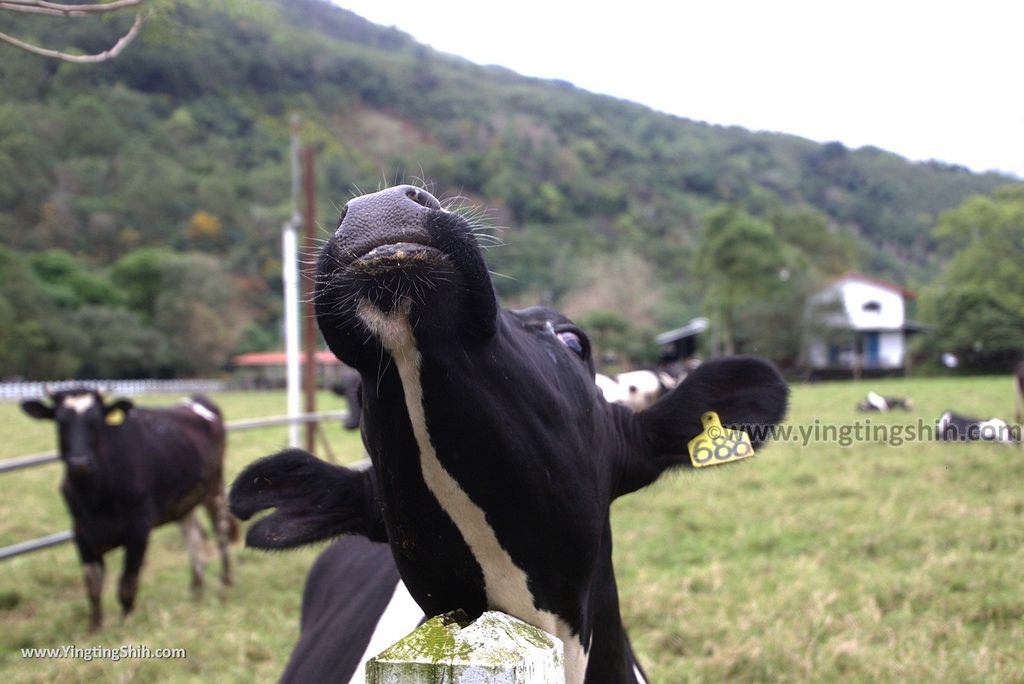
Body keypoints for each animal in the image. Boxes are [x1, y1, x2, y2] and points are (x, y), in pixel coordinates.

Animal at [22, 389, 235, 630]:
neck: (94, 497)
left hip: (214, 489)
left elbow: (127, 583)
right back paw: (196, 589)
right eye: (60, 421)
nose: (79, 462)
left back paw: (226, 581)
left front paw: (125, 624)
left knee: (221, 531)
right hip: (184, 502)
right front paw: (94, 628)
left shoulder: (139, 528)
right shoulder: (80, 533)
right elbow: (93, 585)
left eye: (96, 421)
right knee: (194, 538)